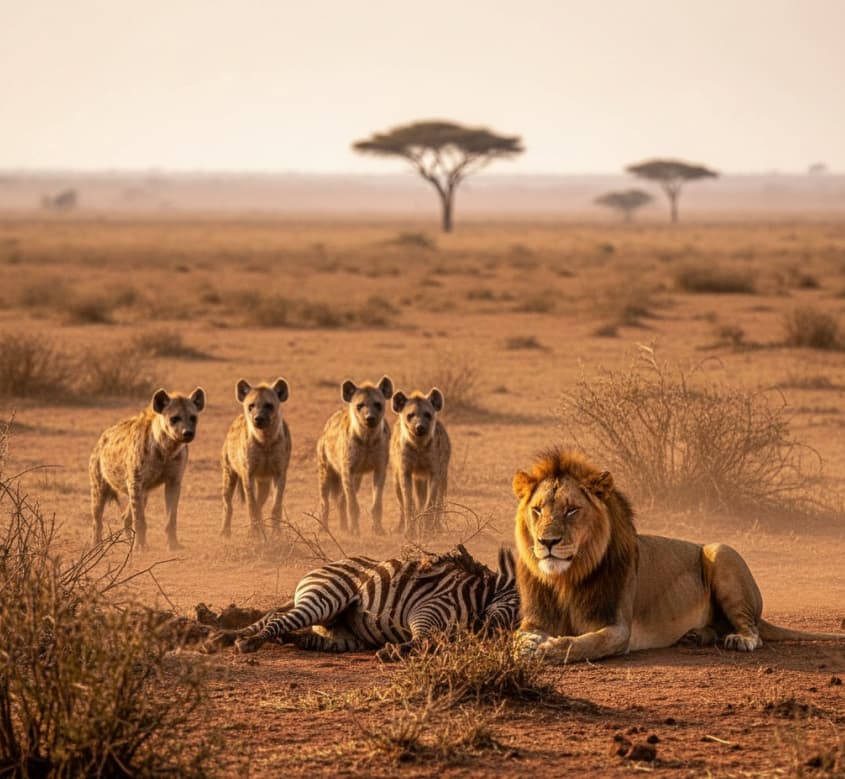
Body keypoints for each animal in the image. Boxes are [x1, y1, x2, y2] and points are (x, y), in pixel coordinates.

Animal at [203, 545, 518, 660]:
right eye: (517, 607)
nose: (492, 634)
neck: (480, 597)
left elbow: (435, 641)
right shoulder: (430, 607)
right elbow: (424, 637)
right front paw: (396, 651)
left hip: (344, 635)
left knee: (282, 623)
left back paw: (227, 637)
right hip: (329, 595)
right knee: (279, 620)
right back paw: (246, 642)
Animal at [512, 448, 844, 663]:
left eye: (571, 510)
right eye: (537, 510)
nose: (547, 542)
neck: (567, 578)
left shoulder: (619, 629)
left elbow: (587, 643)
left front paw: (549, 649)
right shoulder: (534, 620)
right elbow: (518, 636)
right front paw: (526, 647)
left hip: (720, 551)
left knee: (752, 630)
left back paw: (739, 639)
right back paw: (695, 636)